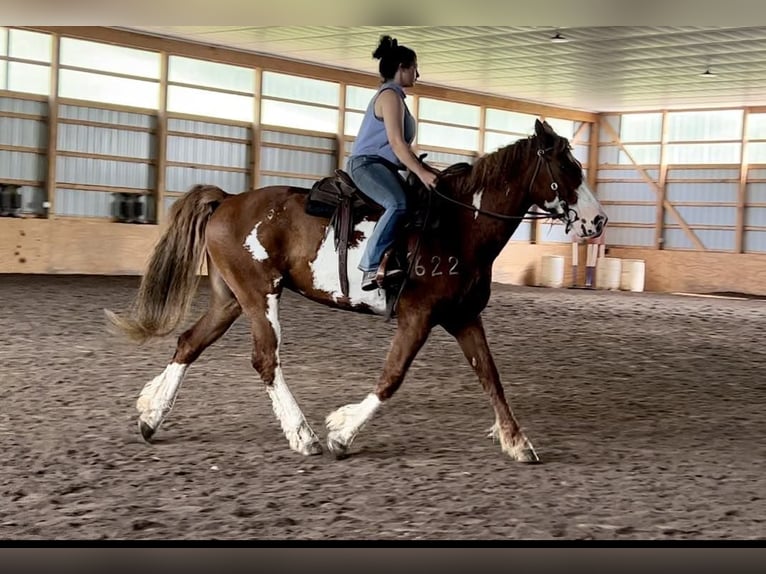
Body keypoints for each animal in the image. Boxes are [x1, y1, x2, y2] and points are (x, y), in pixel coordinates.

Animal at [105, 120, 608, 464]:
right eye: (568, 167)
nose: (598, 220)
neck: (458, 225)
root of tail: (227, 200)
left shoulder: (463, 317)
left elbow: (491, 377)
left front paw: (518, 442)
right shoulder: (418, 317)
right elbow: (392, 378)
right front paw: (341, 433)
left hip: (231, 299)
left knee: (189, 342)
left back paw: (151, 416)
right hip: (259, 295)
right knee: (265, 359)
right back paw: (302, 435)